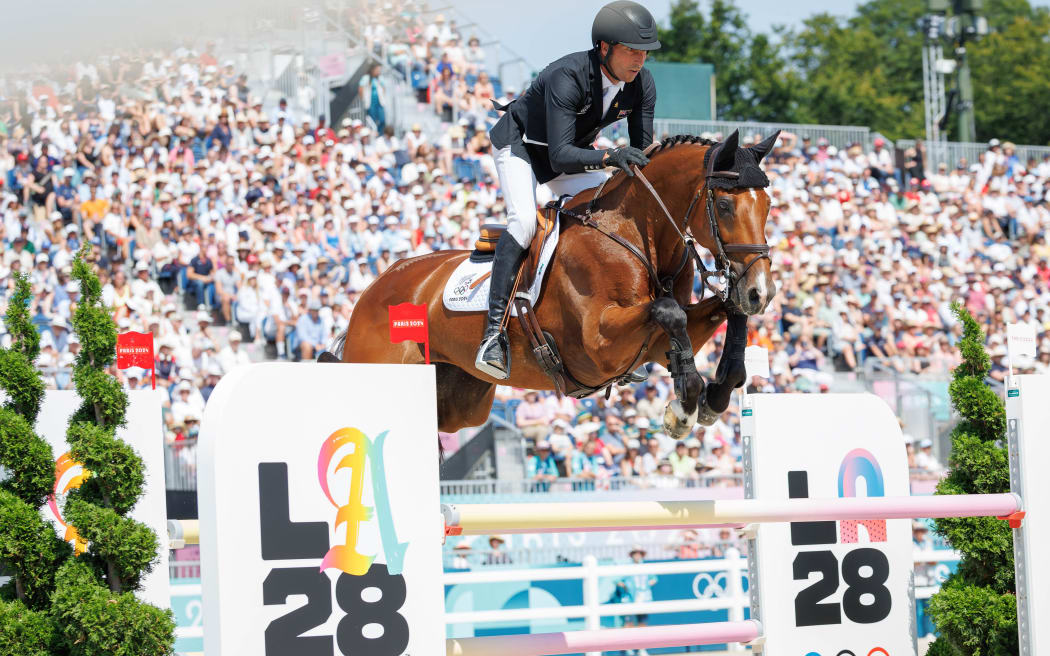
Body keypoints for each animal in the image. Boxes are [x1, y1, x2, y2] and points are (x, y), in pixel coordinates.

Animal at [327, 129, 781, 436]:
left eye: (768, 204)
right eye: (724, 205)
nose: (762, 292)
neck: (638, 234)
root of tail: (374, 288)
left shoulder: (651, 344)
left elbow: (724, 312)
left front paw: (716, 395)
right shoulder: (598, 345)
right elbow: (669, 312)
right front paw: (684, 408)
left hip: (460, 401)